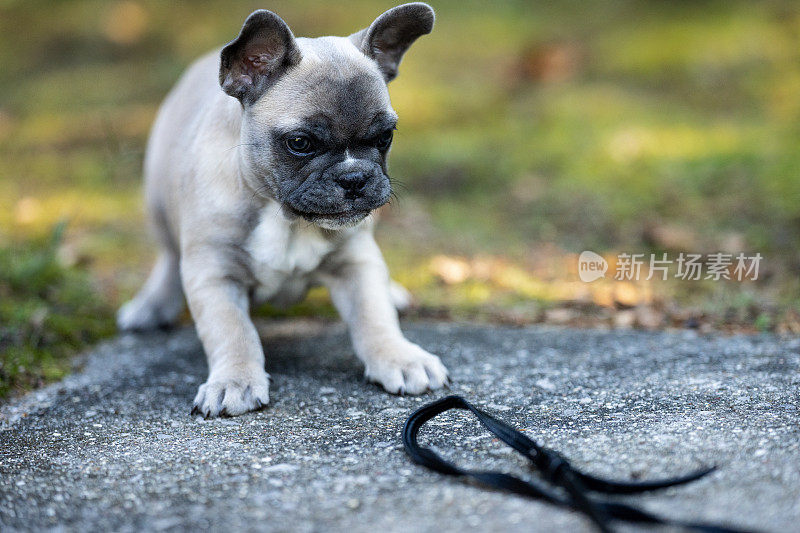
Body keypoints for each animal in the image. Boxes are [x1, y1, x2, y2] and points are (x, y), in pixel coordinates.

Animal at [117, 3, 450, 416]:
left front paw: (400, 357)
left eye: (384, 138)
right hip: (159, 205)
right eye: (300, 143)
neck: (283, 216)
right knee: (167, 256)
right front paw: (234, 381)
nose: (354, 177)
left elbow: (374, 316)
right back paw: (151, 306)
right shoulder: (214, 273)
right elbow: (233, 331)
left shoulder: (357, 261)